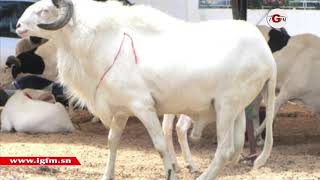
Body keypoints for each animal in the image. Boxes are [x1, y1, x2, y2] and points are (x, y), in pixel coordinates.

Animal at [16, 0, 278, 179]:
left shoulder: (143, 107)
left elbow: (160, 145)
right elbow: (112, 142)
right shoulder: (121, 110)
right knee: (235, 147)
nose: (18, 26)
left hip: (227, 106)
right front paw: (107, 175)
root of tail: (267, 55)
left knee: (224, 149)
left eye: (44, 10)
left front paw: (171, 173)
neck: (105, 41)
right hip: (236, 110)